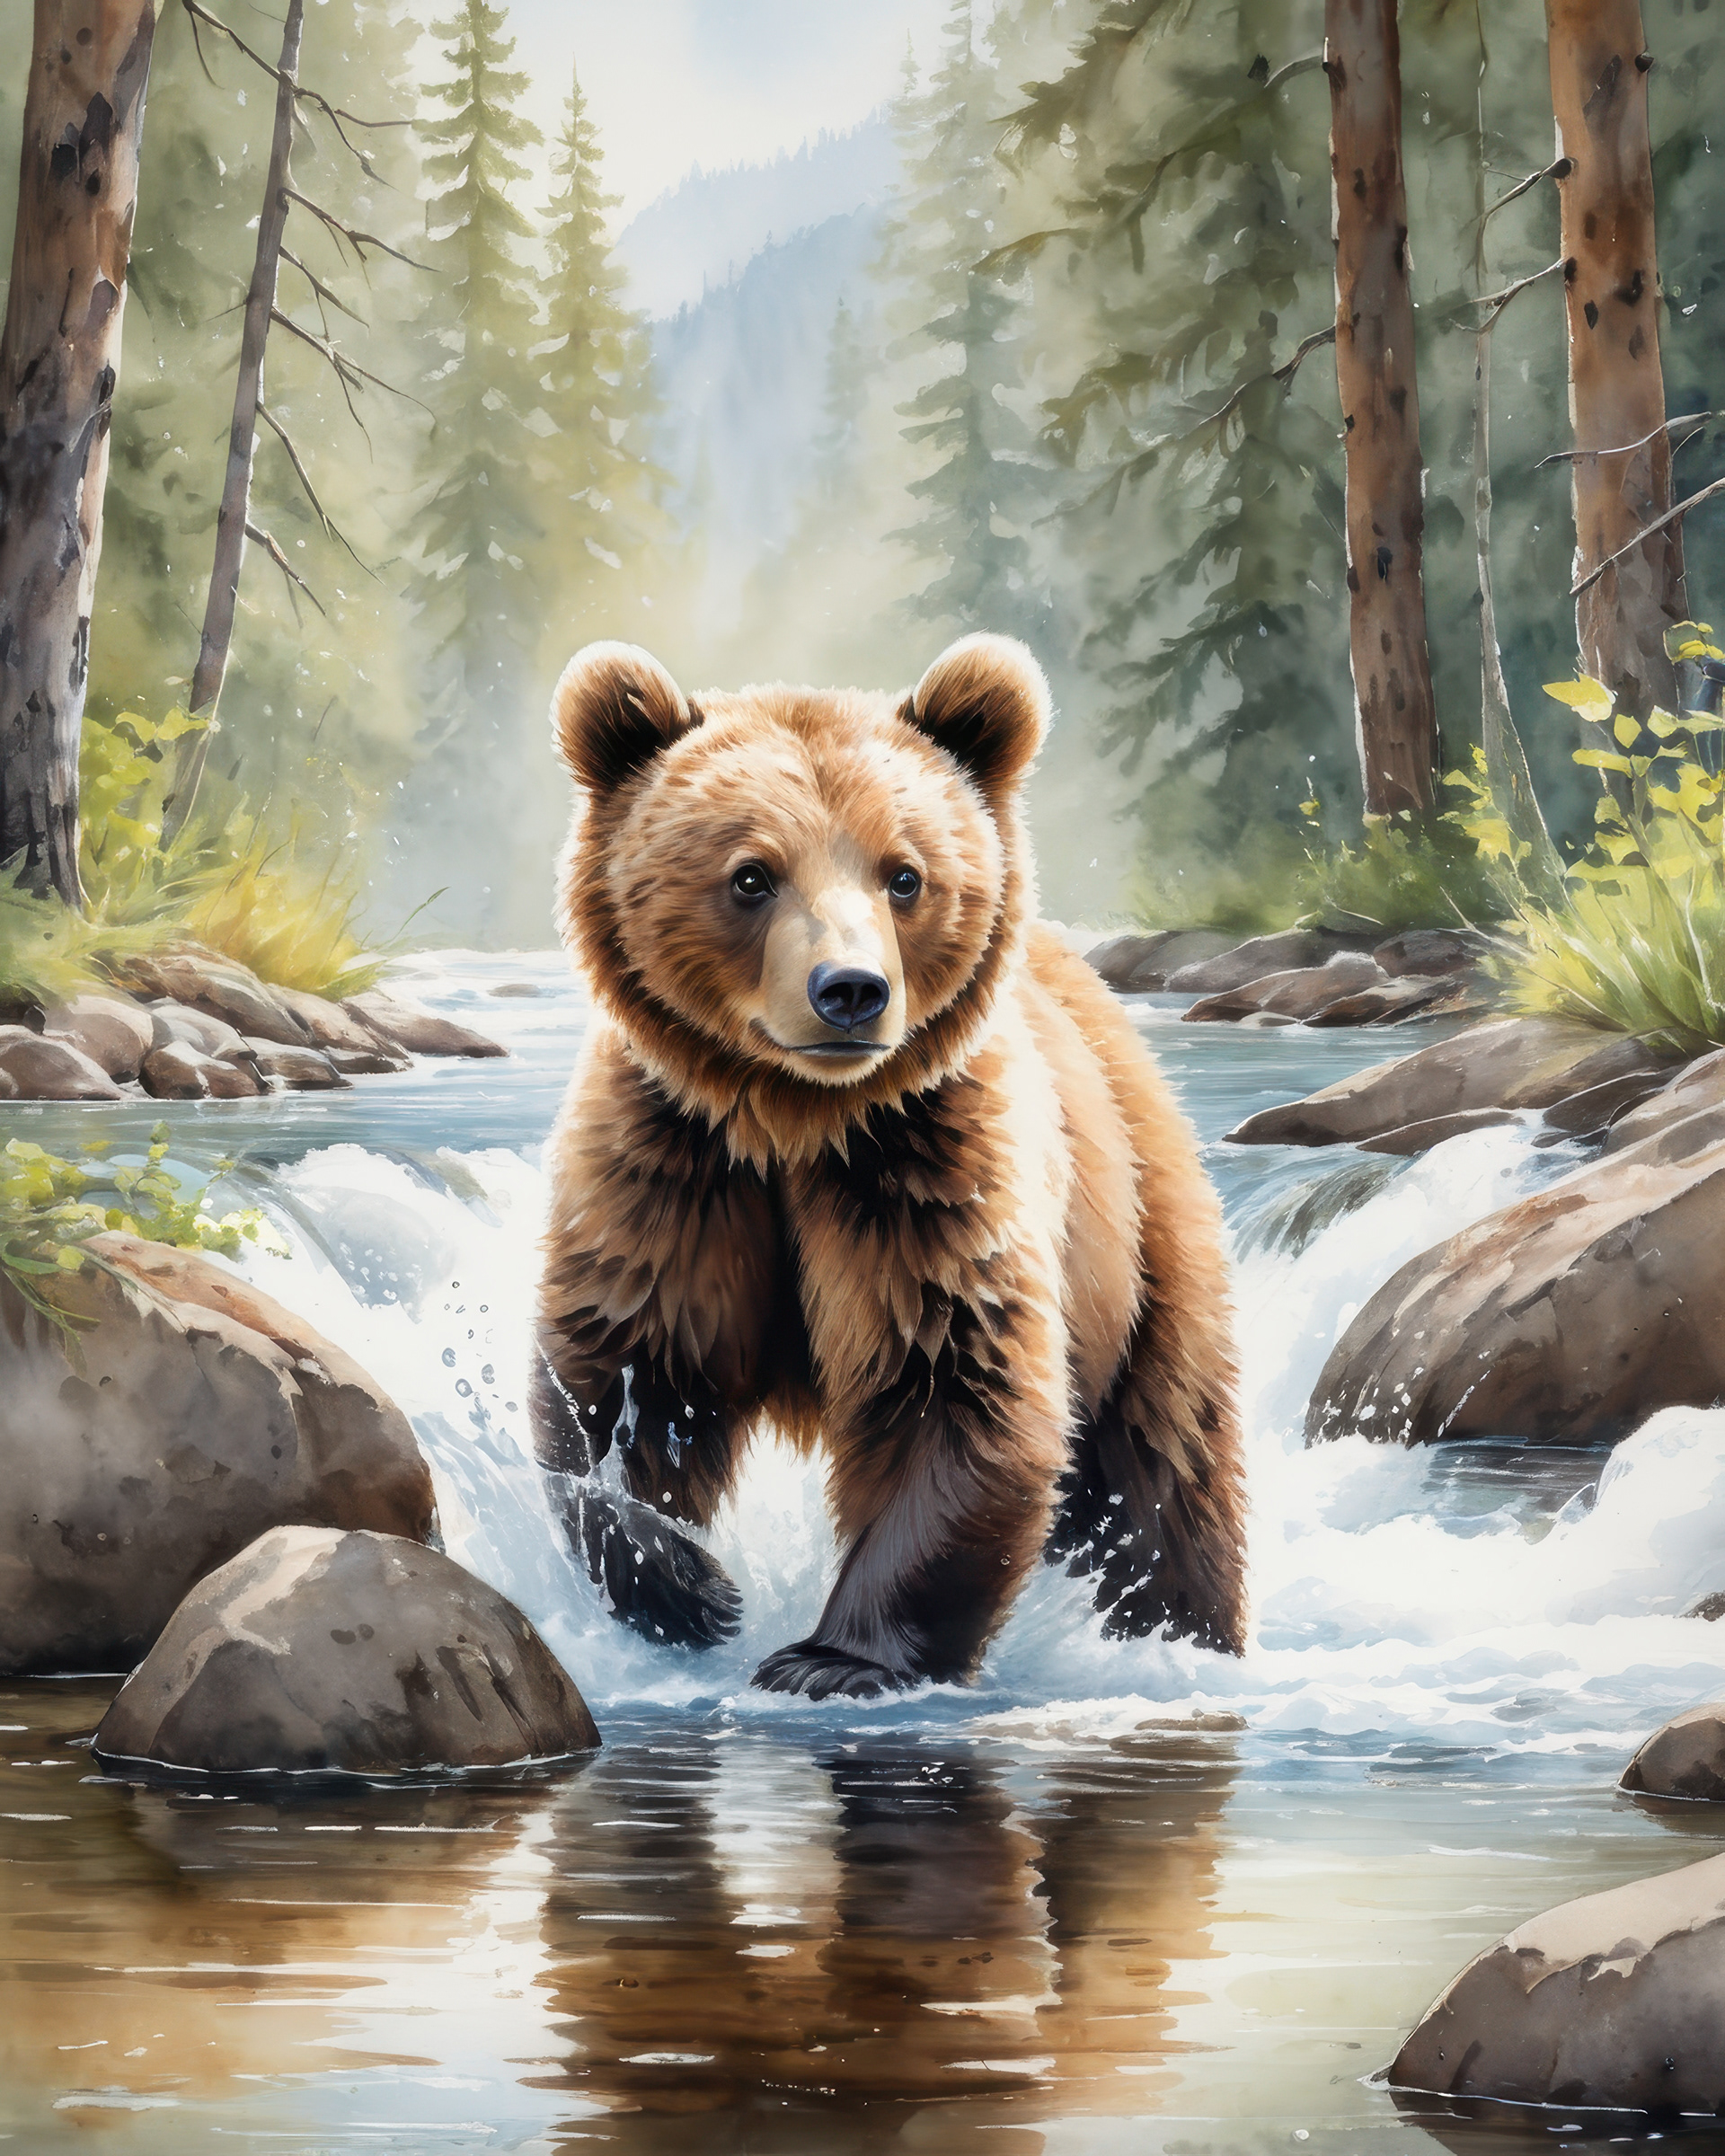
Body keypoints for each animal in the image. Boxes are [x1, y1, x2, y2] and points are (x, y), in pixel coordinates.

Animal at [532, 632, 1247, 1699]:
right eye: (751, 876)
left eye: (903, 876)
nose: (851, 991)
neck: (795, 1123)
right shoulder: (673, 1167)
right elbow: (614, 1380)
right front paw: (694, 1593)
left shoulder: (928, 1169)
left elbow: (956, 1383)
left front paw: (828, 1660)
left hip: (1140, 1249)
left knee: (1166, 1474)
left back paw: (1185, 1636)